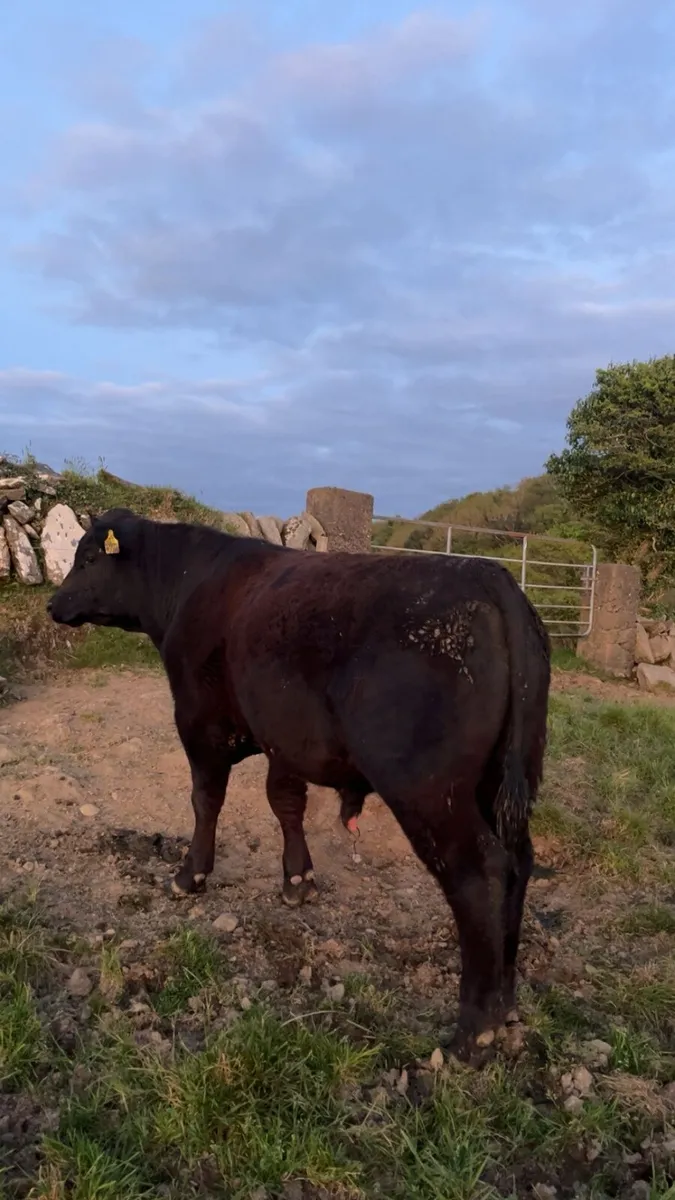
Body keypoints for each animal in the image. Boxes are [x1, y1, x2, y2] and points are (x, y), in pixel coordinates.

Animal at [48, 507, 550, 1061]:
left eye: (88, 558)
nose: (53, 603)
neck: (190, 582)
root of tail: (487, 574)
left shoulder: (199, 723)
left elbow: (206, 800)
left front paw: (190, 874)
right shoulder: (283, 737)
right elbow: (286, 803)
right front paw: (297, 881)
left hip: (429, 792)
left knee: (478, 874)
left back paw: (472, 1031)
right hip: (501, 784)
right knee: (518, 863)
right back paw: (506, 1002)